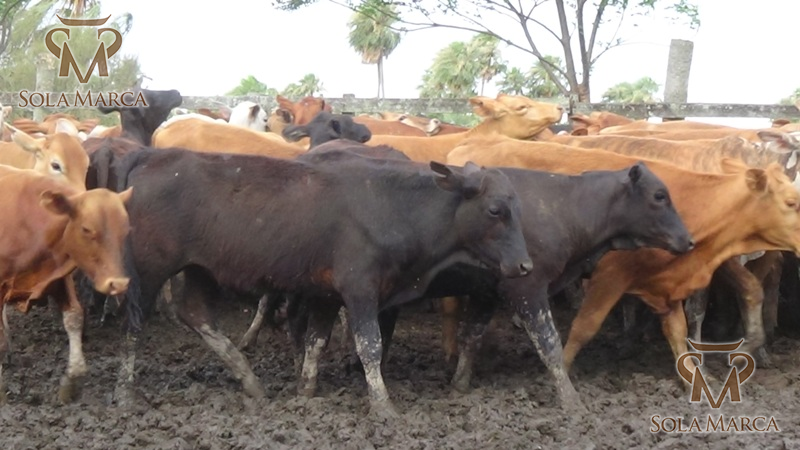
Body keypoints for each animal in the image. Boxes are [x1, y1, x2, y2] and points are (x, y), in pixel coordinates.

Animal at [0, 166, 132, 404]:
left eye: (125, 230)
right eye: (87, 229)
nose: (117, 283)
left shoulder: (58, 278)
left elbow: (74, 318)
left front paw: (71, 380)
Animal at [110, 146, 532, 416]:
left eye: (516, 205)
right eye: (495, 209)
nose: (525, 265)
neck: (391, 203)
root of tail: (150, 156)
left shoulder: (327, 293)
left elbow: (315, 342)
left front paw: (306, 391)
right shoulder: (359, 288)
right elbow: (370, 346)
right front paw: (384, 406)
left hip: (201, 269)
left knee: (196, 315)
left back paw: (251, 382)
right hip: (149, 270)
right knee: (133, 327)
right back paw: (125, 394)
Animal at [447, 136, 800, 385]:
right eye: (791, 201)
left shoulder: (669, 285)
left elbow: (680, 333)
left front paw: (698, 378)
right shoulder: (610, 276)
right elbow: (583, 327)